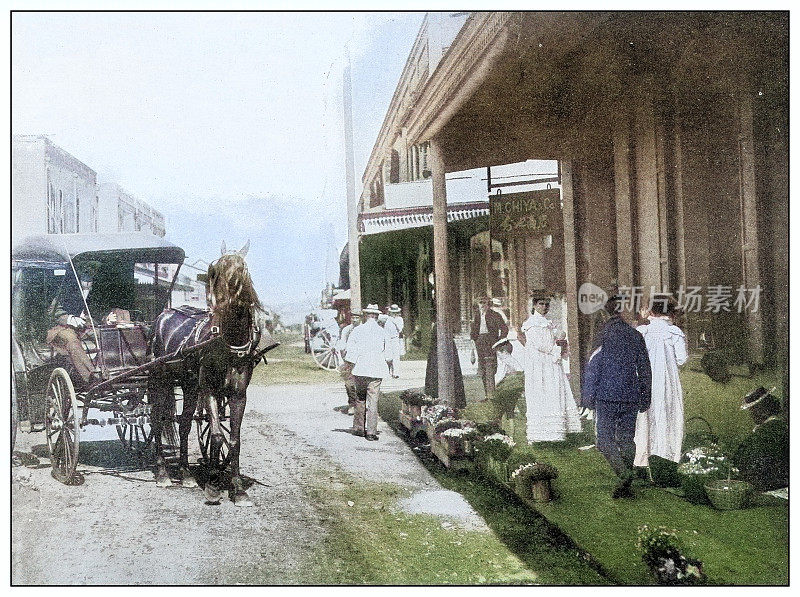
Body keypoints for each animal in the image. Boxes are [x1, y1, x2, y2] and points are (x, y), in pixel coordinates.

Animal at [145, 240, 268, 506]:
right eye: (213, 270)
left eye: (242, 269)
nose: (221, 302)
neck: (231, 342)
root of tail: (163, 315)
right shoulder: (209, 389)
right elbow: (216, 435)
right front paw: (212, 485)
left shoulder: (238, 395)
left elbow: (234, 439)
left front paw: (237, 489)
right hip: (159, 379)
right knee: (158, 421)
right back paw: (162, 473)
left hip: (190, 384)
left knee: (183, 424)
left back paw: (185, 473)